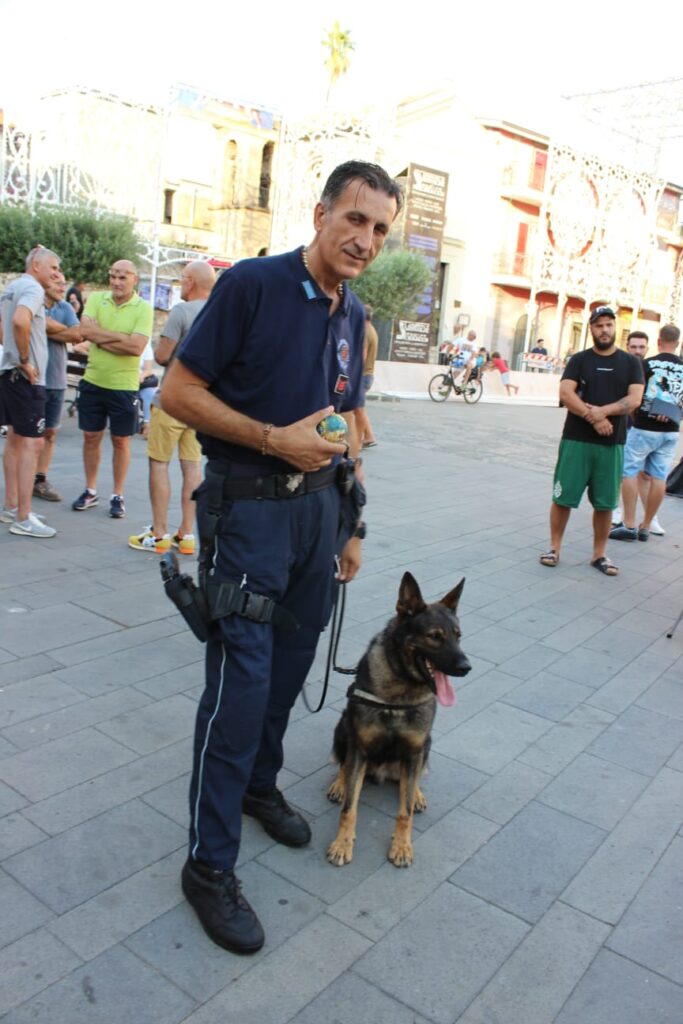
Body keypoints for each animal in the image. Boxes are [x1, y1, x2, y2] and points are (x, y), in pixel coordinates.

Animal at [327, 573, 471, 868]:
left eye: (458, 636)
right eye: (435, 637)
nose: (466, 667)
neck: (401, 689)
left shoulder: (414, 750)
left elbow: (404, 813)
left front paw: (402, 846)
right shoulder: (360, 748)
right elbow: (349, 808)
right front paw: (342, 843)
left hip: (426, 744)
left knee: (413, 779)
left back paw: (416, 793)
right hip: (343, 727)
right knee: (343, 764)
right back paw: (340, 783)